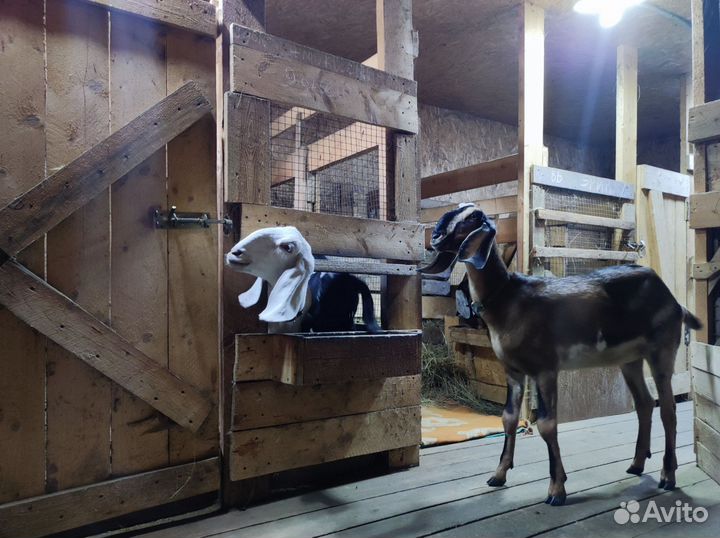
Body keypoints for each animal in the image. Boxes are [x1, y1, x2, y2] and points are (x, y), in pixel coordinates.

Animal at [420, 203, 701, 506]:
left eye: (472, 218)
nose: (435, 236)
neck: (508, 299)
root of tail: (675, 303)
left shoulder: (545, 369)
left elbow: (547, 424)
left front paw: (556, 489)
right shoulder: (513, 371)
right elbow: (508, 418)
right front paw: (498, 475)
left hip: (662, 350)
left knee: (669, 410)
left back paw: (667, 476)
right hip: (630, 359)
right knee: (645, 403)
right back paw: (636, 464)